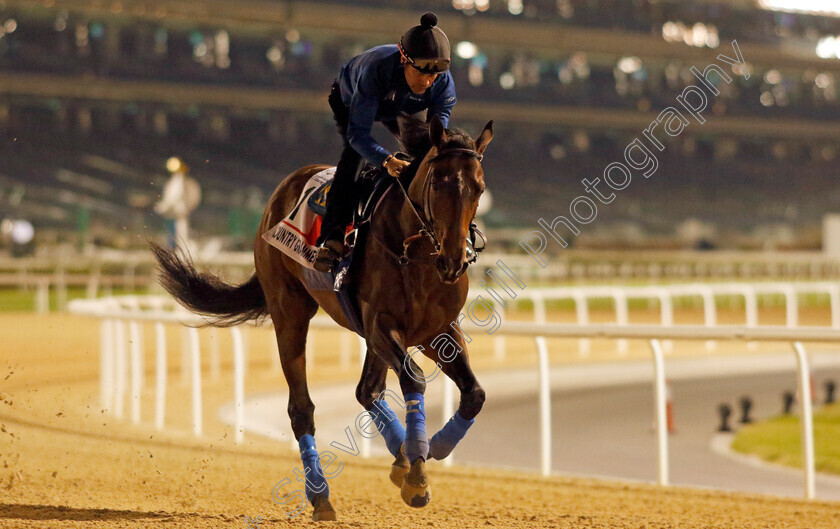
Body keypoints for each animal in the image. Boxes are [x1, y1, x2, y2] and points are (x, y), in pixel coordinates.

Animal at [151, 115, 492, 520]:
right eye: (438, 182)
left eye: (479, 187)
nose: (454, 261)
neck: (417, 254)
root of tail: (280, 193)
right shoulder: (382, 325)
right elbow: (414, 379)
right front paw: (418, 474)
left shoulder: (436, 330)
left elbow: (474, 394)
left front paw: (431, 449)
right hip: (289, 311)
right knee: (302, 408)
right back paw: (321, 494)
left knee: (366, 390)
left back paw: (399, 456)